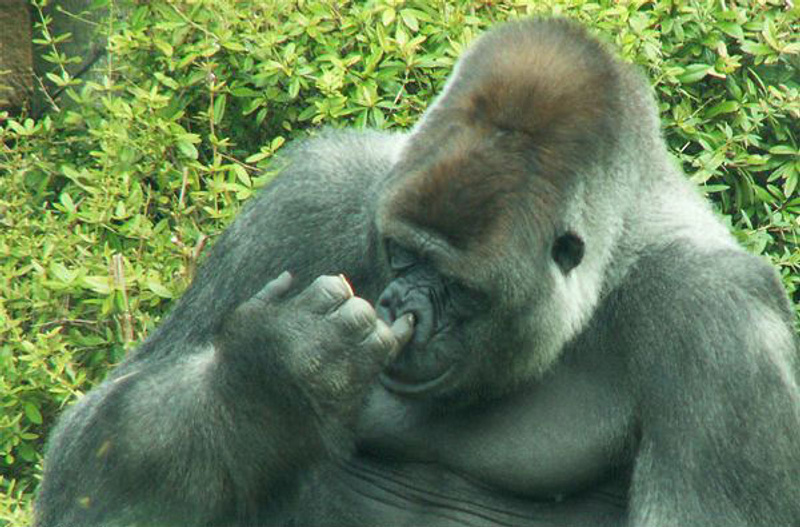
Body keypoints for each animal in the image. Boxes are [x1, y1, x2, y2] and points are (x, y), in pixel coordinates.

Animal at [36, 18, 799, 527]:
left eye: (459, 288)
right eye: (401, 255)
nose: (402, 302)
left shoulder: (719, 319)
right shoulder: (313, 194)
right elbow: (87, 461)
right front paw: (270, 372)